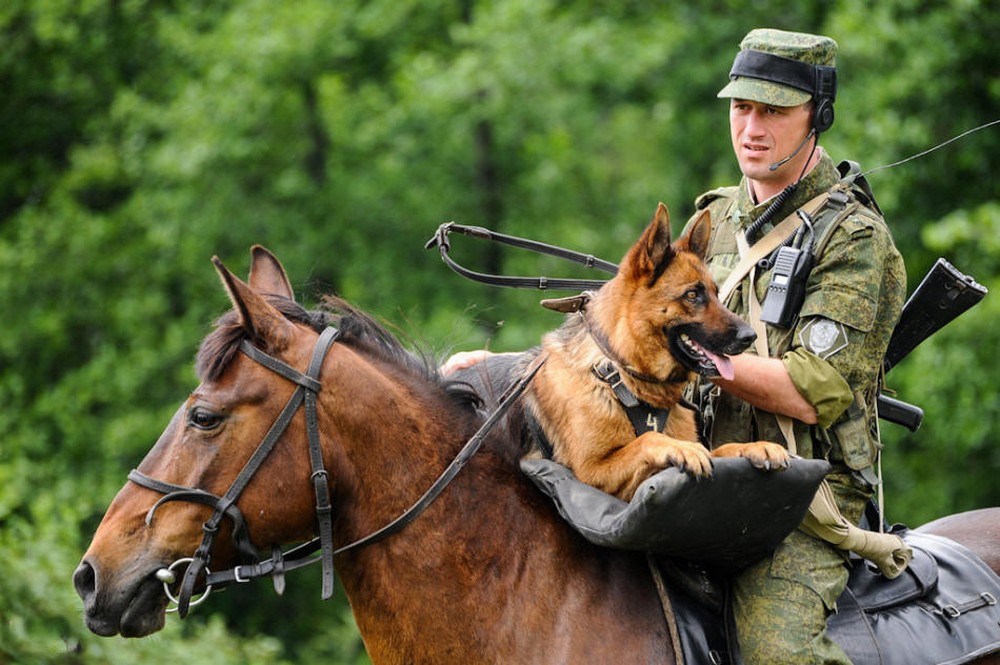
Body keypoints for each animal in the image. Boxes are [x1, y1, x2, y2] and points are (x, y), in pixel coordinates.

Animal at [512, 202, 792, 498]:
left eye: (716, 294)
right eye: (692, 295)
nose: (750, 336)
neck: (622, 375)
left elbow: (719, 449)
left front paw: (754, 447)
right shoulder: (589, 475)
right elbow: (648, 437)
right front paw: (681, 448)